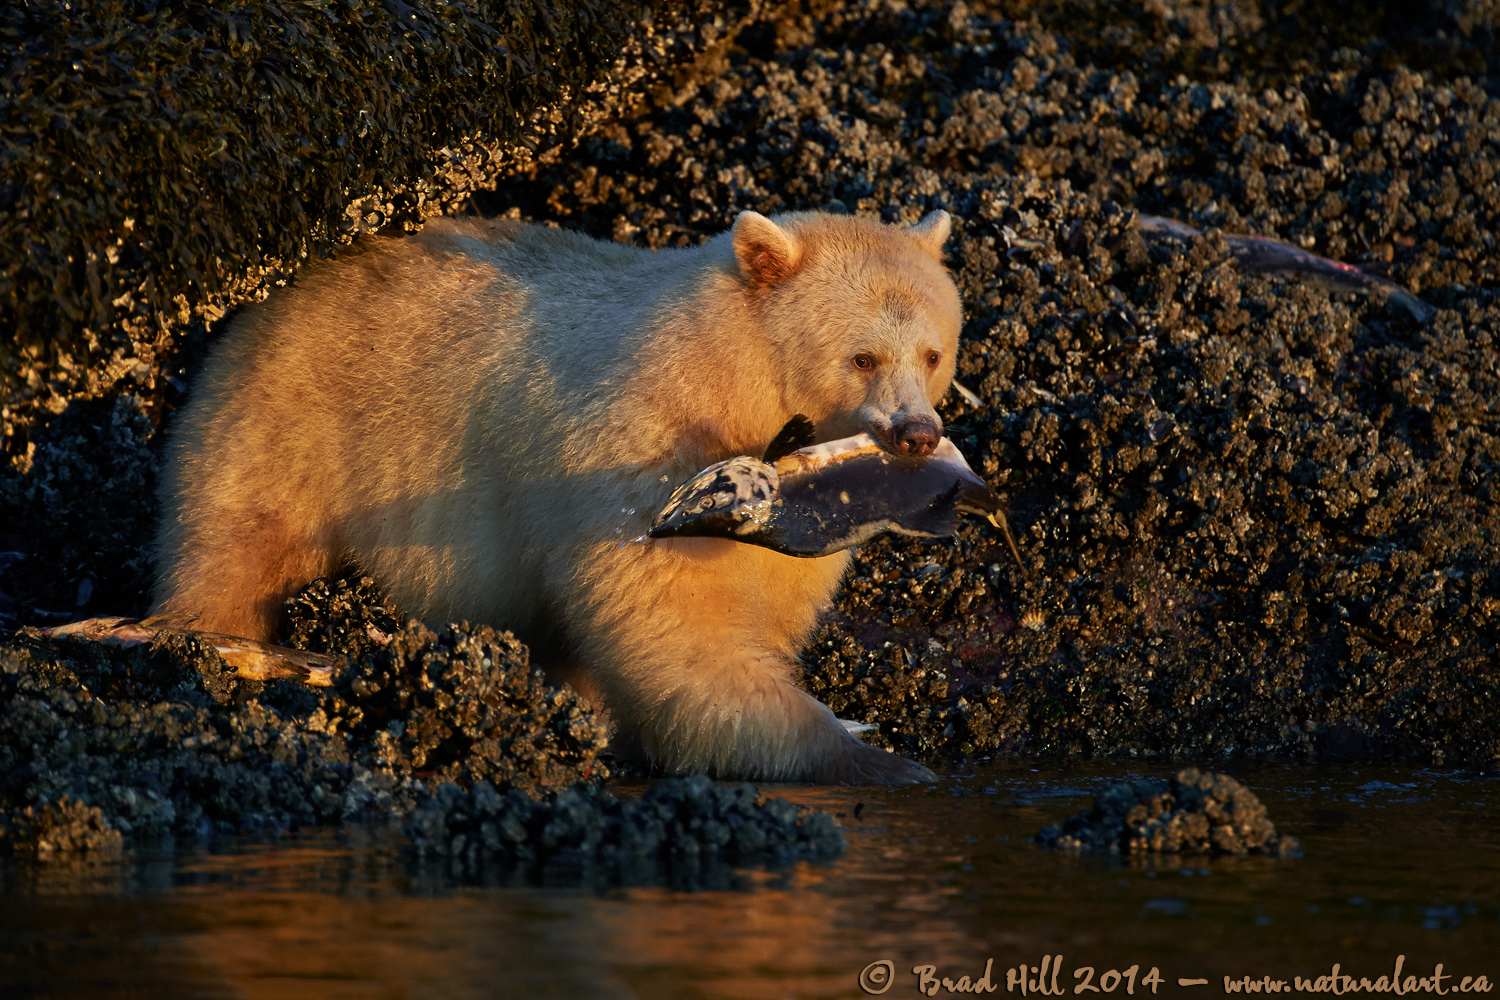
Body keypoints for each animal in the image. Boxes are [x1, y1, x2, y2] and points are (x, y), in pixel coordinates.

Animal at [155, 209, 960, 779]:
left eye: (933, 352)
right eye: (862, 356)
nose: (918, 433)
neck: (729, 374)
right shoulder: (641, 445)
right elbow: (680, 624)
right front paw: (872, 757)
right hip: (290, 424)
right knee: (235, 539)